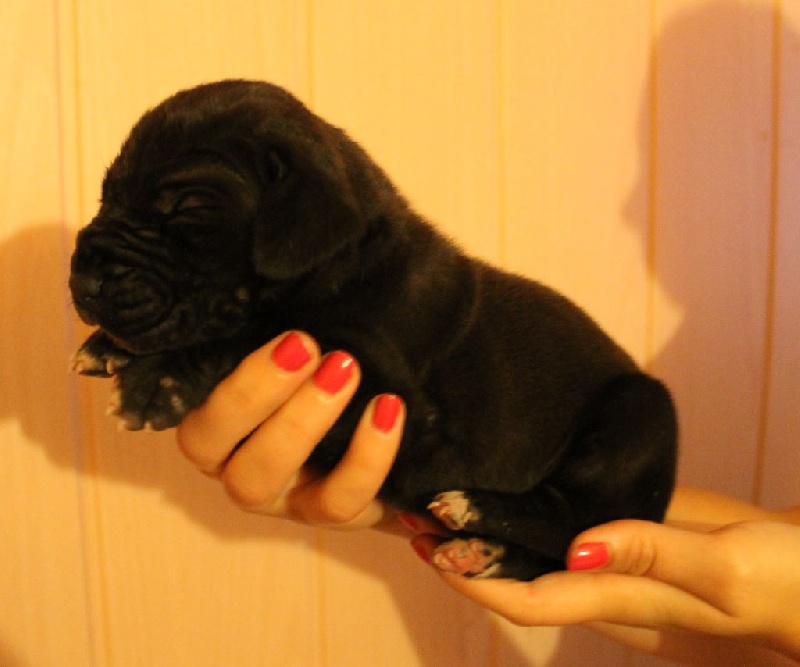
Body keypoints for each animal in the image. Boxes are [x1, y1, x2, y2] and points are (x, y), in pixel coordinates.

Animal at [70, 80, 677, 580]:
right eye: (106, 195)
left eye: (183, 211)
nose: (82, 276)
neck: (345, 264)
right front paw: (107, 350)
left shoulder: (399, 407)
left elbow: (261, 336)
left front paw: (159, 382)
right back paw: (483, 552)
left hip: (639, 414)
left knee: (574, 528)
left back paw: (479, 512)